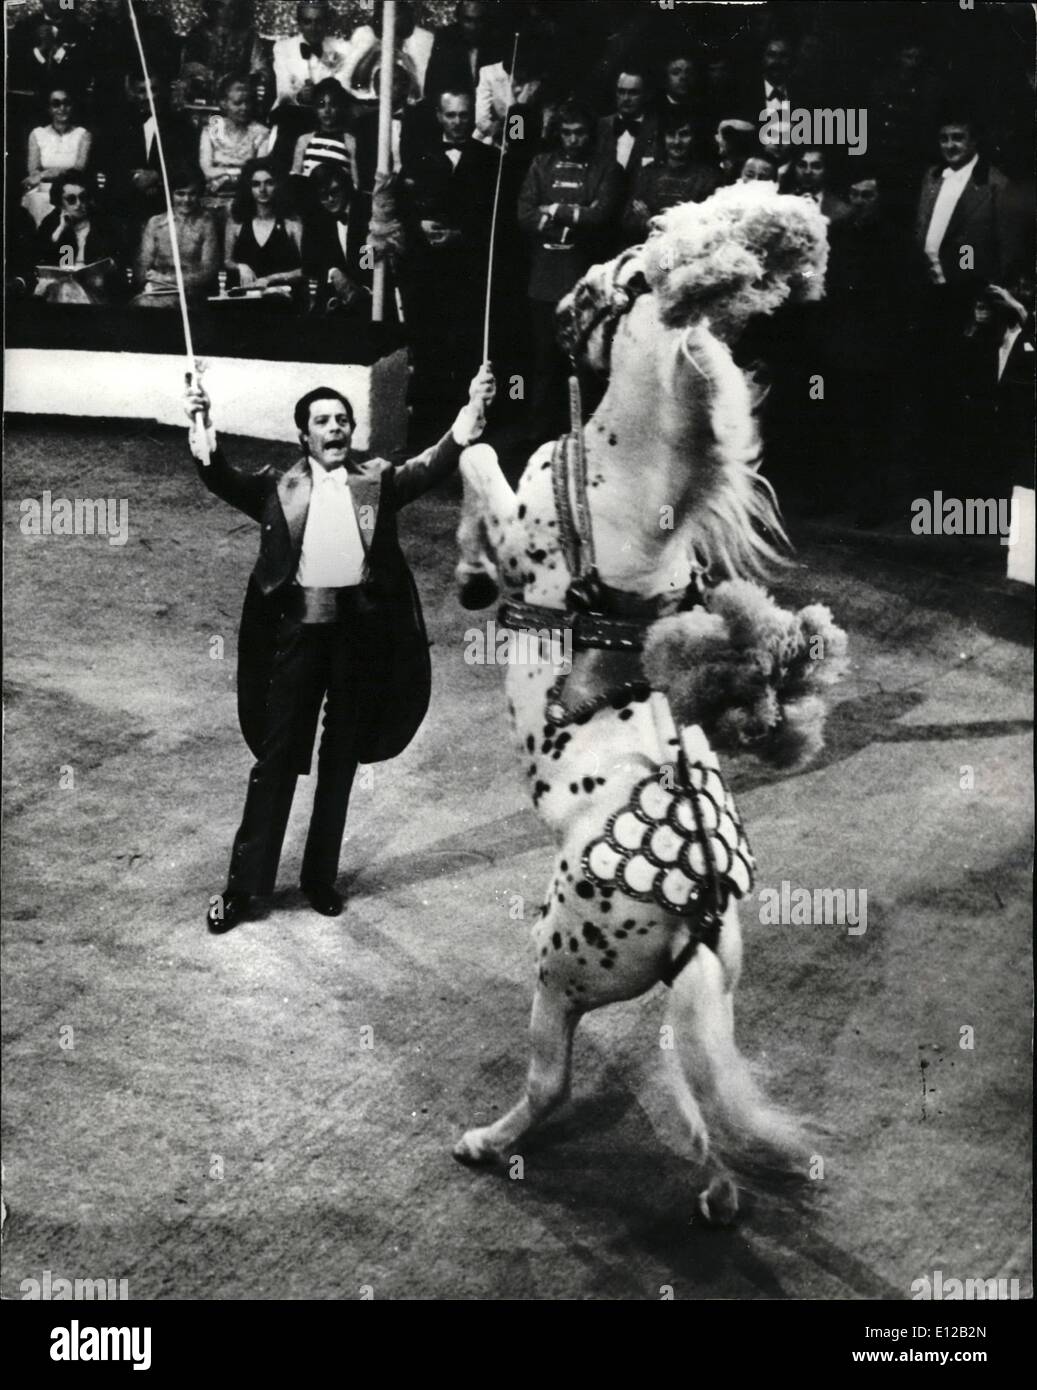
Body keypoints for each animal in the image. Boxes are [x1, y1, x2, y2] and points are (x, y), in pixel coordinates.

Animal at [453, 187, 834, 1228]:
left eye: (620, 269)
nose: (556, 309)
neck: (625, 494)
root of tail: (694, 919)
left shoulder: (520, 523)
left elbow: (480, 464)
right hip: (705, 997)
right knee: (696, 1096)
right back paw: (717, 1194)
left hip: (557, 971)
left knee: (548, 1084)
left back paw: (486, 1142)